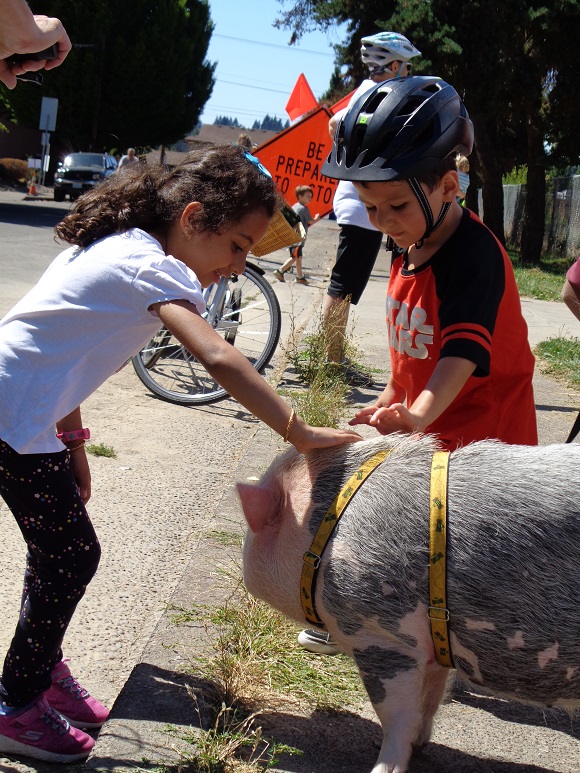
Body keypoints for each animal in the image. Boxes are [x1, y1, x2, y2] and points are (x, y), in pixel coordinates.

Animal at [238, 433, 580, 773]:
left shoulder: (380, 634)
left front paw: (382, 767)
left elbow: (395, 715)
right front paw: (420, 743)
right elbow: (429, 700)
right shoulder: (435, 645)